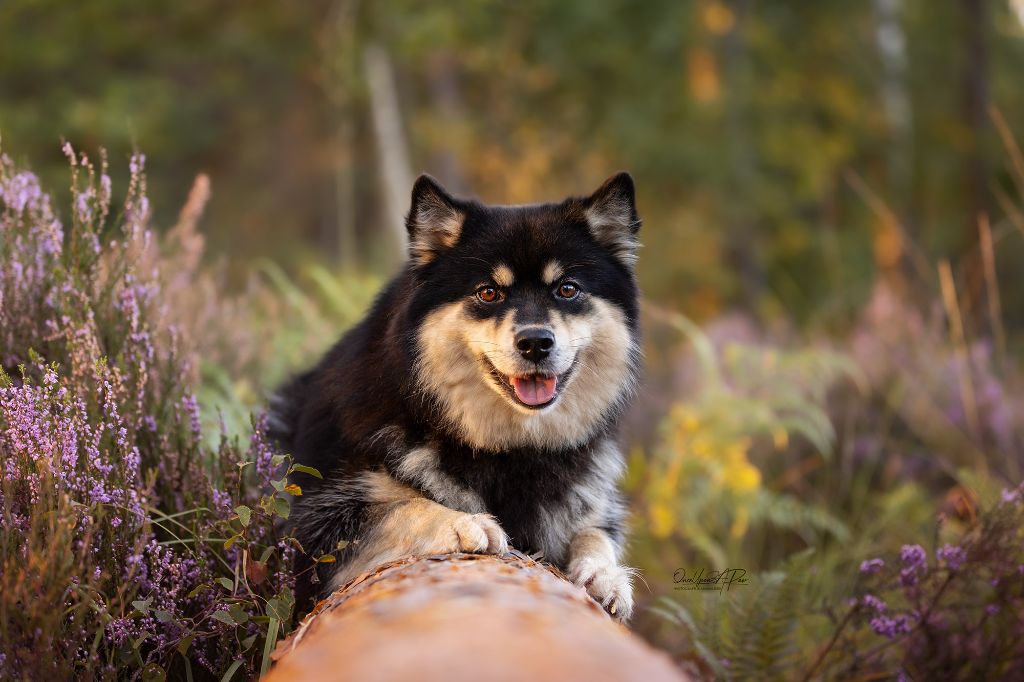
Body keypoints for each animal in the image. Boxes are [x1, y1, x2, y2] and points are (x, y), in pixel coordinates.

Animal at [270, 168, 638, 614]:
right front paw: (465, 522)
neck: (508, 452)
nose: (535, 343)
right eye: (488, 292)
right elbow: (402, 507)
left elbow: (595, 534)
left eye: (567, 289)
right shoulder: (312, 531)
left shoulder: (591, 509)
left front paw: (606, 575)